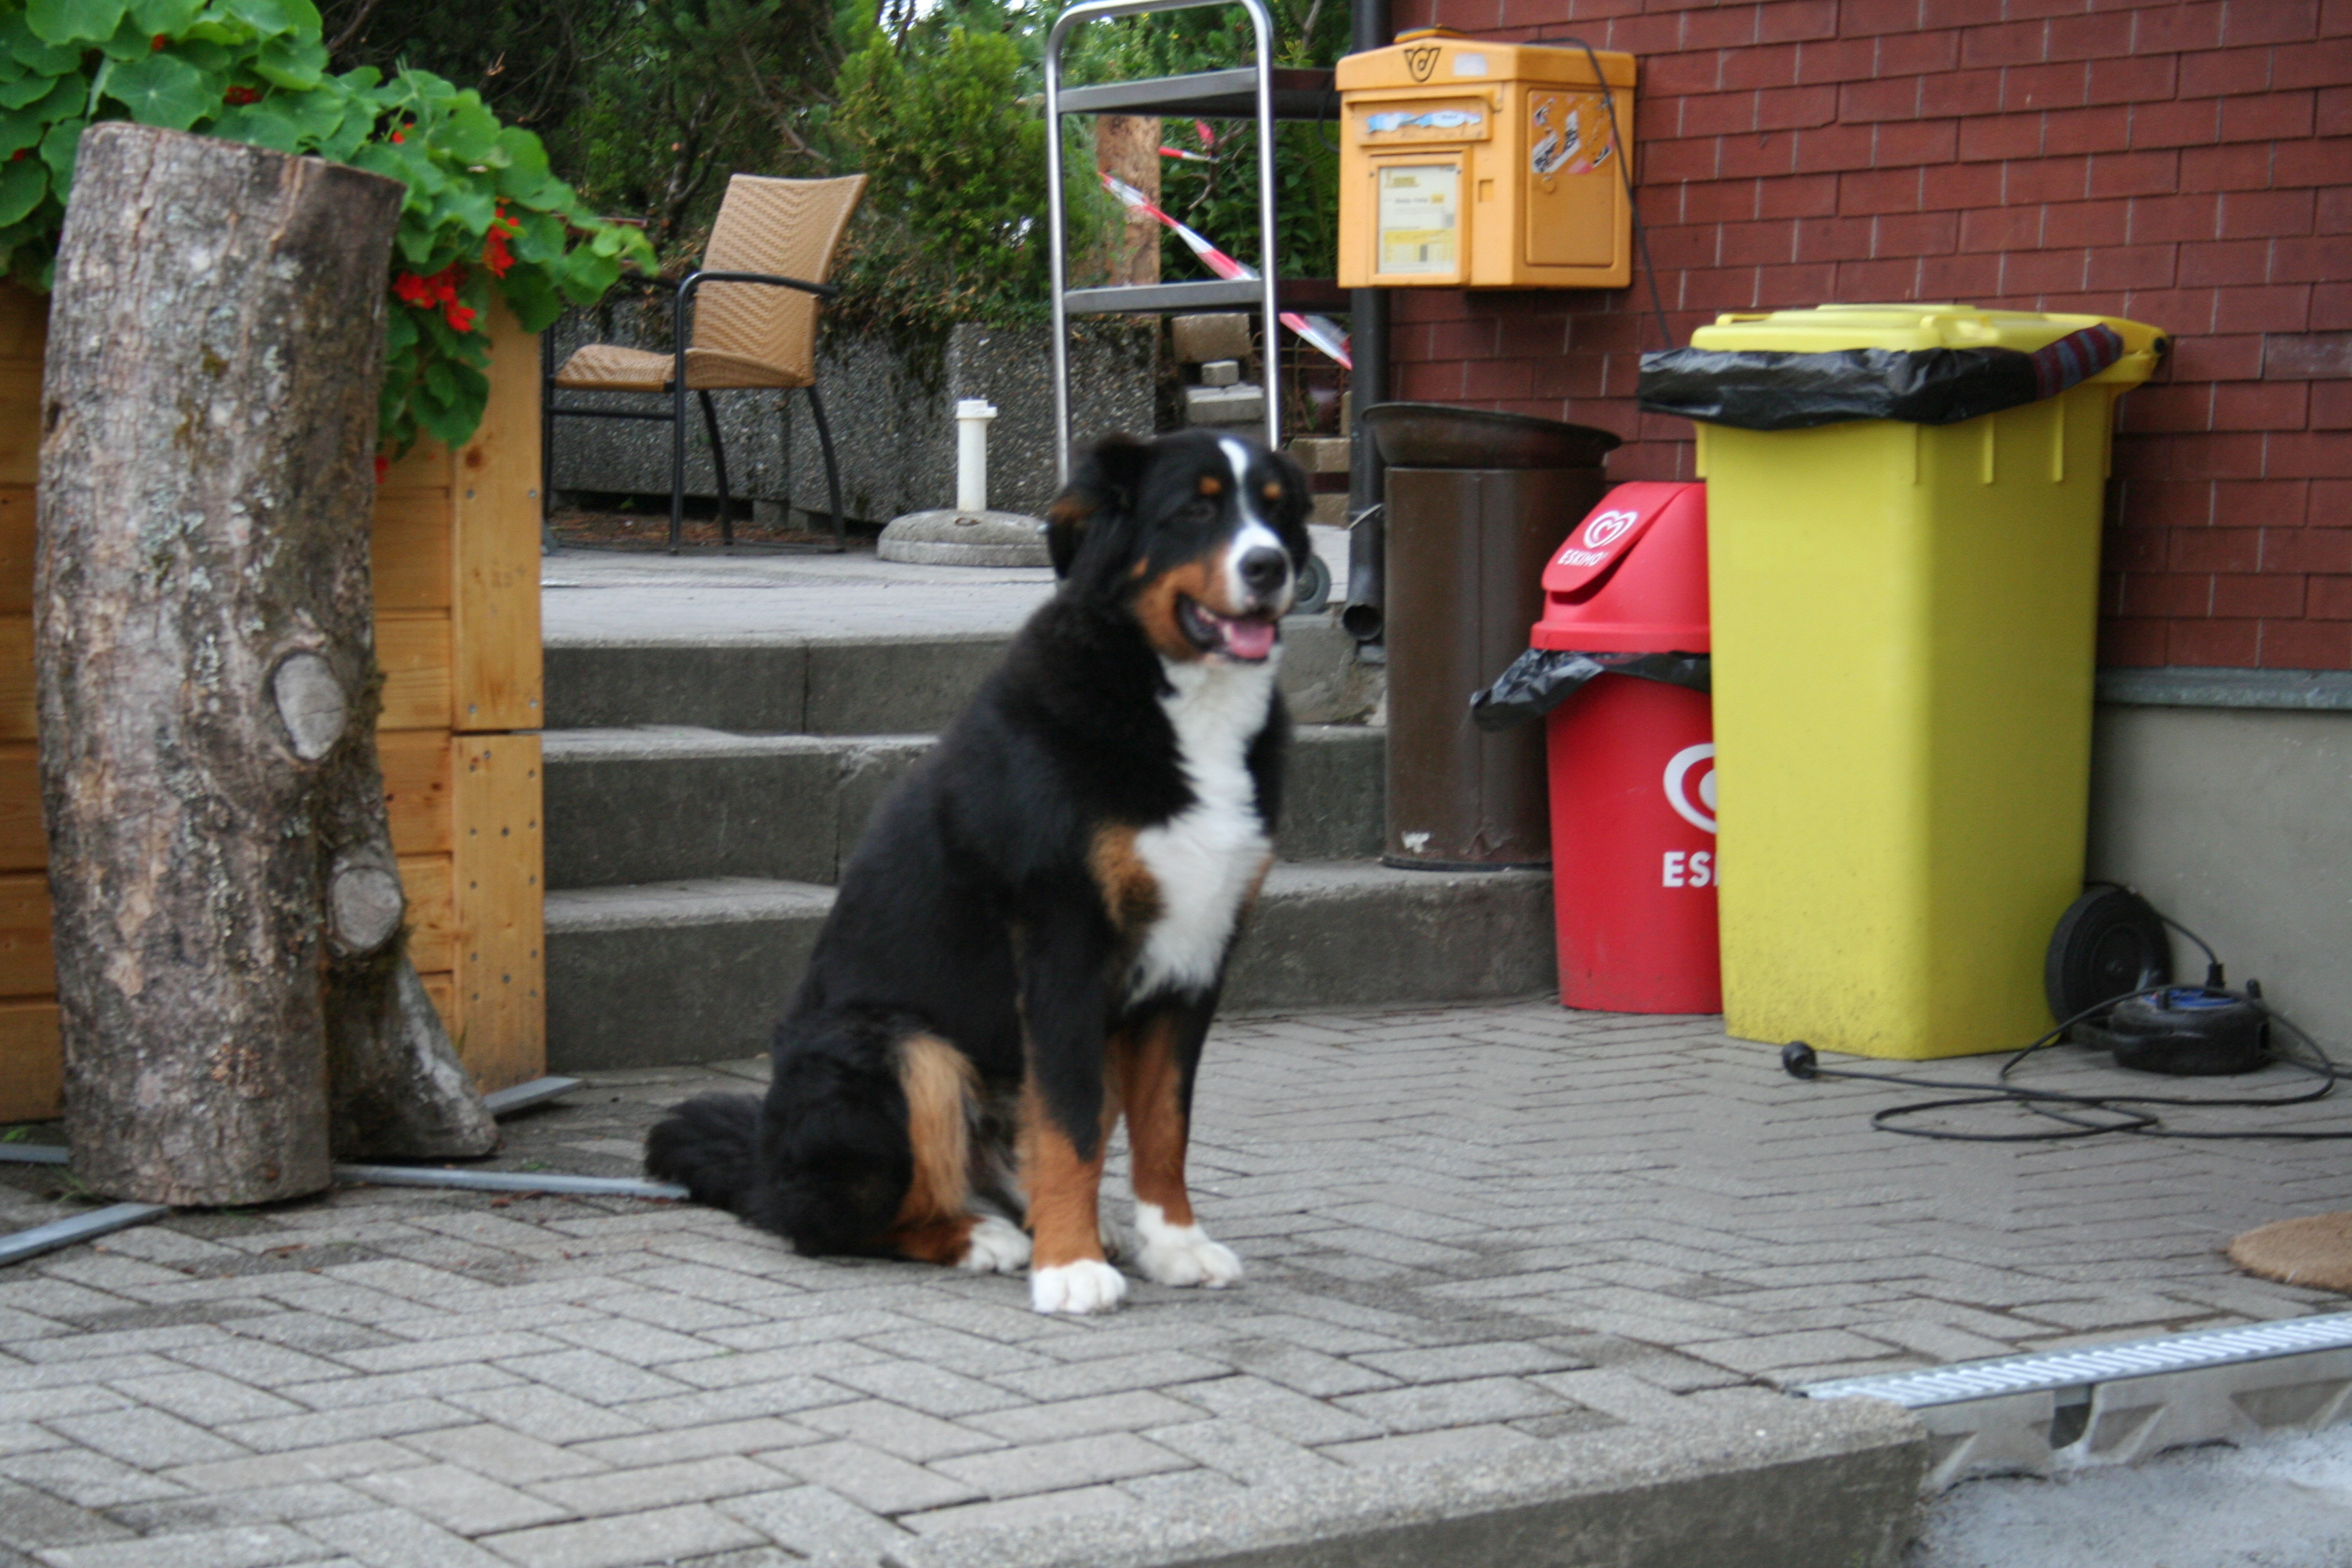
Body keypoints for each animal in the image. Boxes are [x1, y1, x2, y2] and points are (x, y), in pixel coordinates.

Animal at [644, 425, 1317, 1316]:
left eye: (1278, 514)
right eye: (1196, 511)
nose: (1268, 567)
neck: (1176, 700)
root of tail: (763, 1165)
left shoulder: (1197, 960)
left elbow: (1164, 1127)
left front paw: (1175, 1245)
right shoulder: (1065, 946)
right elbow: (1068, 1126)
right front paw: (1070, 1269)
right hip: (902, 1049)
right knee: (835, 1222)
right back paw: (983, 1237)